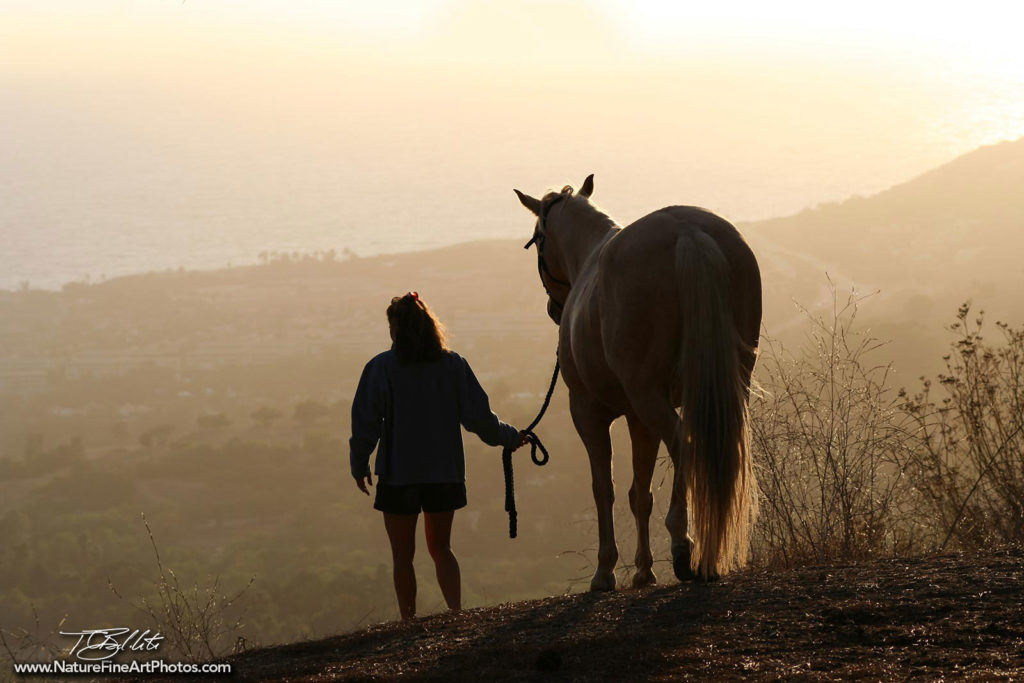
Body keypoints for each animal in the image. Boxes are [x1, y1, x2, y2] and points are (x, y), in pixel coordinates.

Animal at [516, 176, 757, 589]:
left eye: (537, 240)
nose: (553, 309)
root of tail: (689, 232)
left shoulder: (588, 412)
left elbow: (604, 489)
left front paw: (605, 570)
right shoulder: (637, 417)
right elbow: (639, 492)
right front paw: (644, 570)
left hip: (649, 397)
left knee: (685, 444)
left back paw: (683, 543)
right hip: (727, 384)